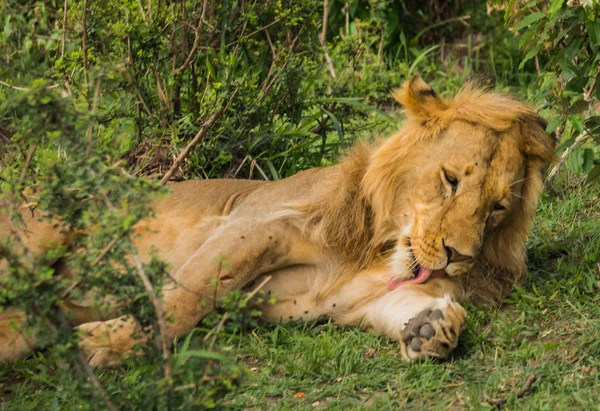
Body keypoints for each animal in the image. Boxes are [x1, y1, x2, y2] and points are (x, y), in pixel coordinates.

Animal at [0, 76, 556, 366]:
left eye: (497, 208)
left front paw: (432, 327)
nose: (460, 255)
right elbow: (184, 300)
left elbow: (403, 309)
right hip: (43, 228)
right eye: (450, 181)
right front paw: (104, 344)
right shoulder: (257, 224)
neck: (378, 249)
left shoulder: (351, 305)